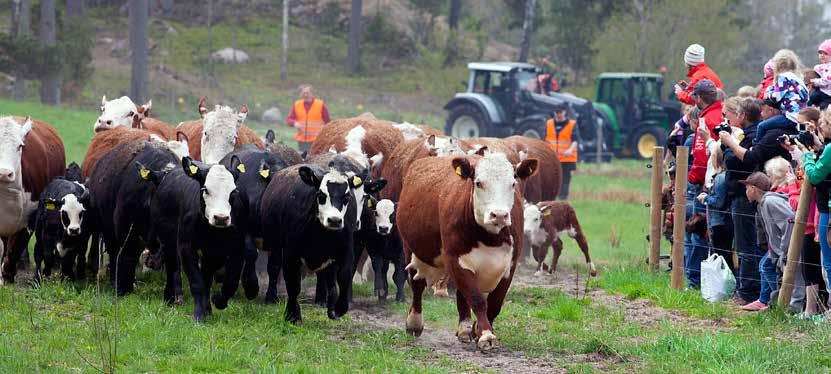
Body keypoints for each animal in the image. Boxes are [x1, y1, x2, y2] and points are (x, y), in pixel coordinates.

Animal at [396, 151, 540, 350]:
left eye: (512, 183)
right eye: (478, 183)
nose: (499, 215)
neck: (490, 238)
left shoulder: (510, 266)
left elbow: (494, 303)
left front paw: (477, 329)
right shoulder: (456, 259)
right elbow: (477, 299)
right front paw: (486, 334)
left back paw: (464, 329)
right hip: (410, 249)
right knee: (417, 285)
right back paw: (414, 323)